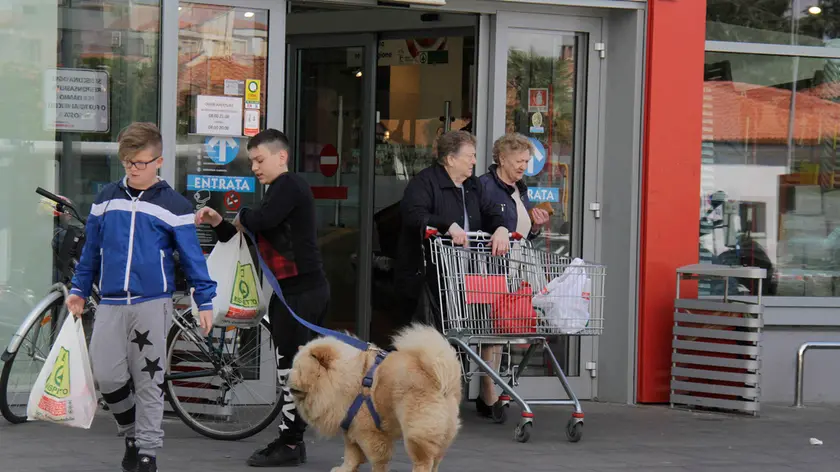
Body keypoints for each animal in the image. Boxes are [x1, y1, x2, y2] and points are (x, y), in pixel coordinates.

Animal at [288, 322, 460, 472]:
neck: (348, 378)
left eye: (299, 370)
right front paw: (345, 469)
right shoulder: (351, 427)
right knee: (436, 460)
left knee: (423, 461)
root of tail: (440, 378)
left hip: (416, 431)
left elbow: (378, 458)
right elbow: (351, 453)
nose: (284, 378)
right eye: (293, 367)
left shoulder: (369, 431)